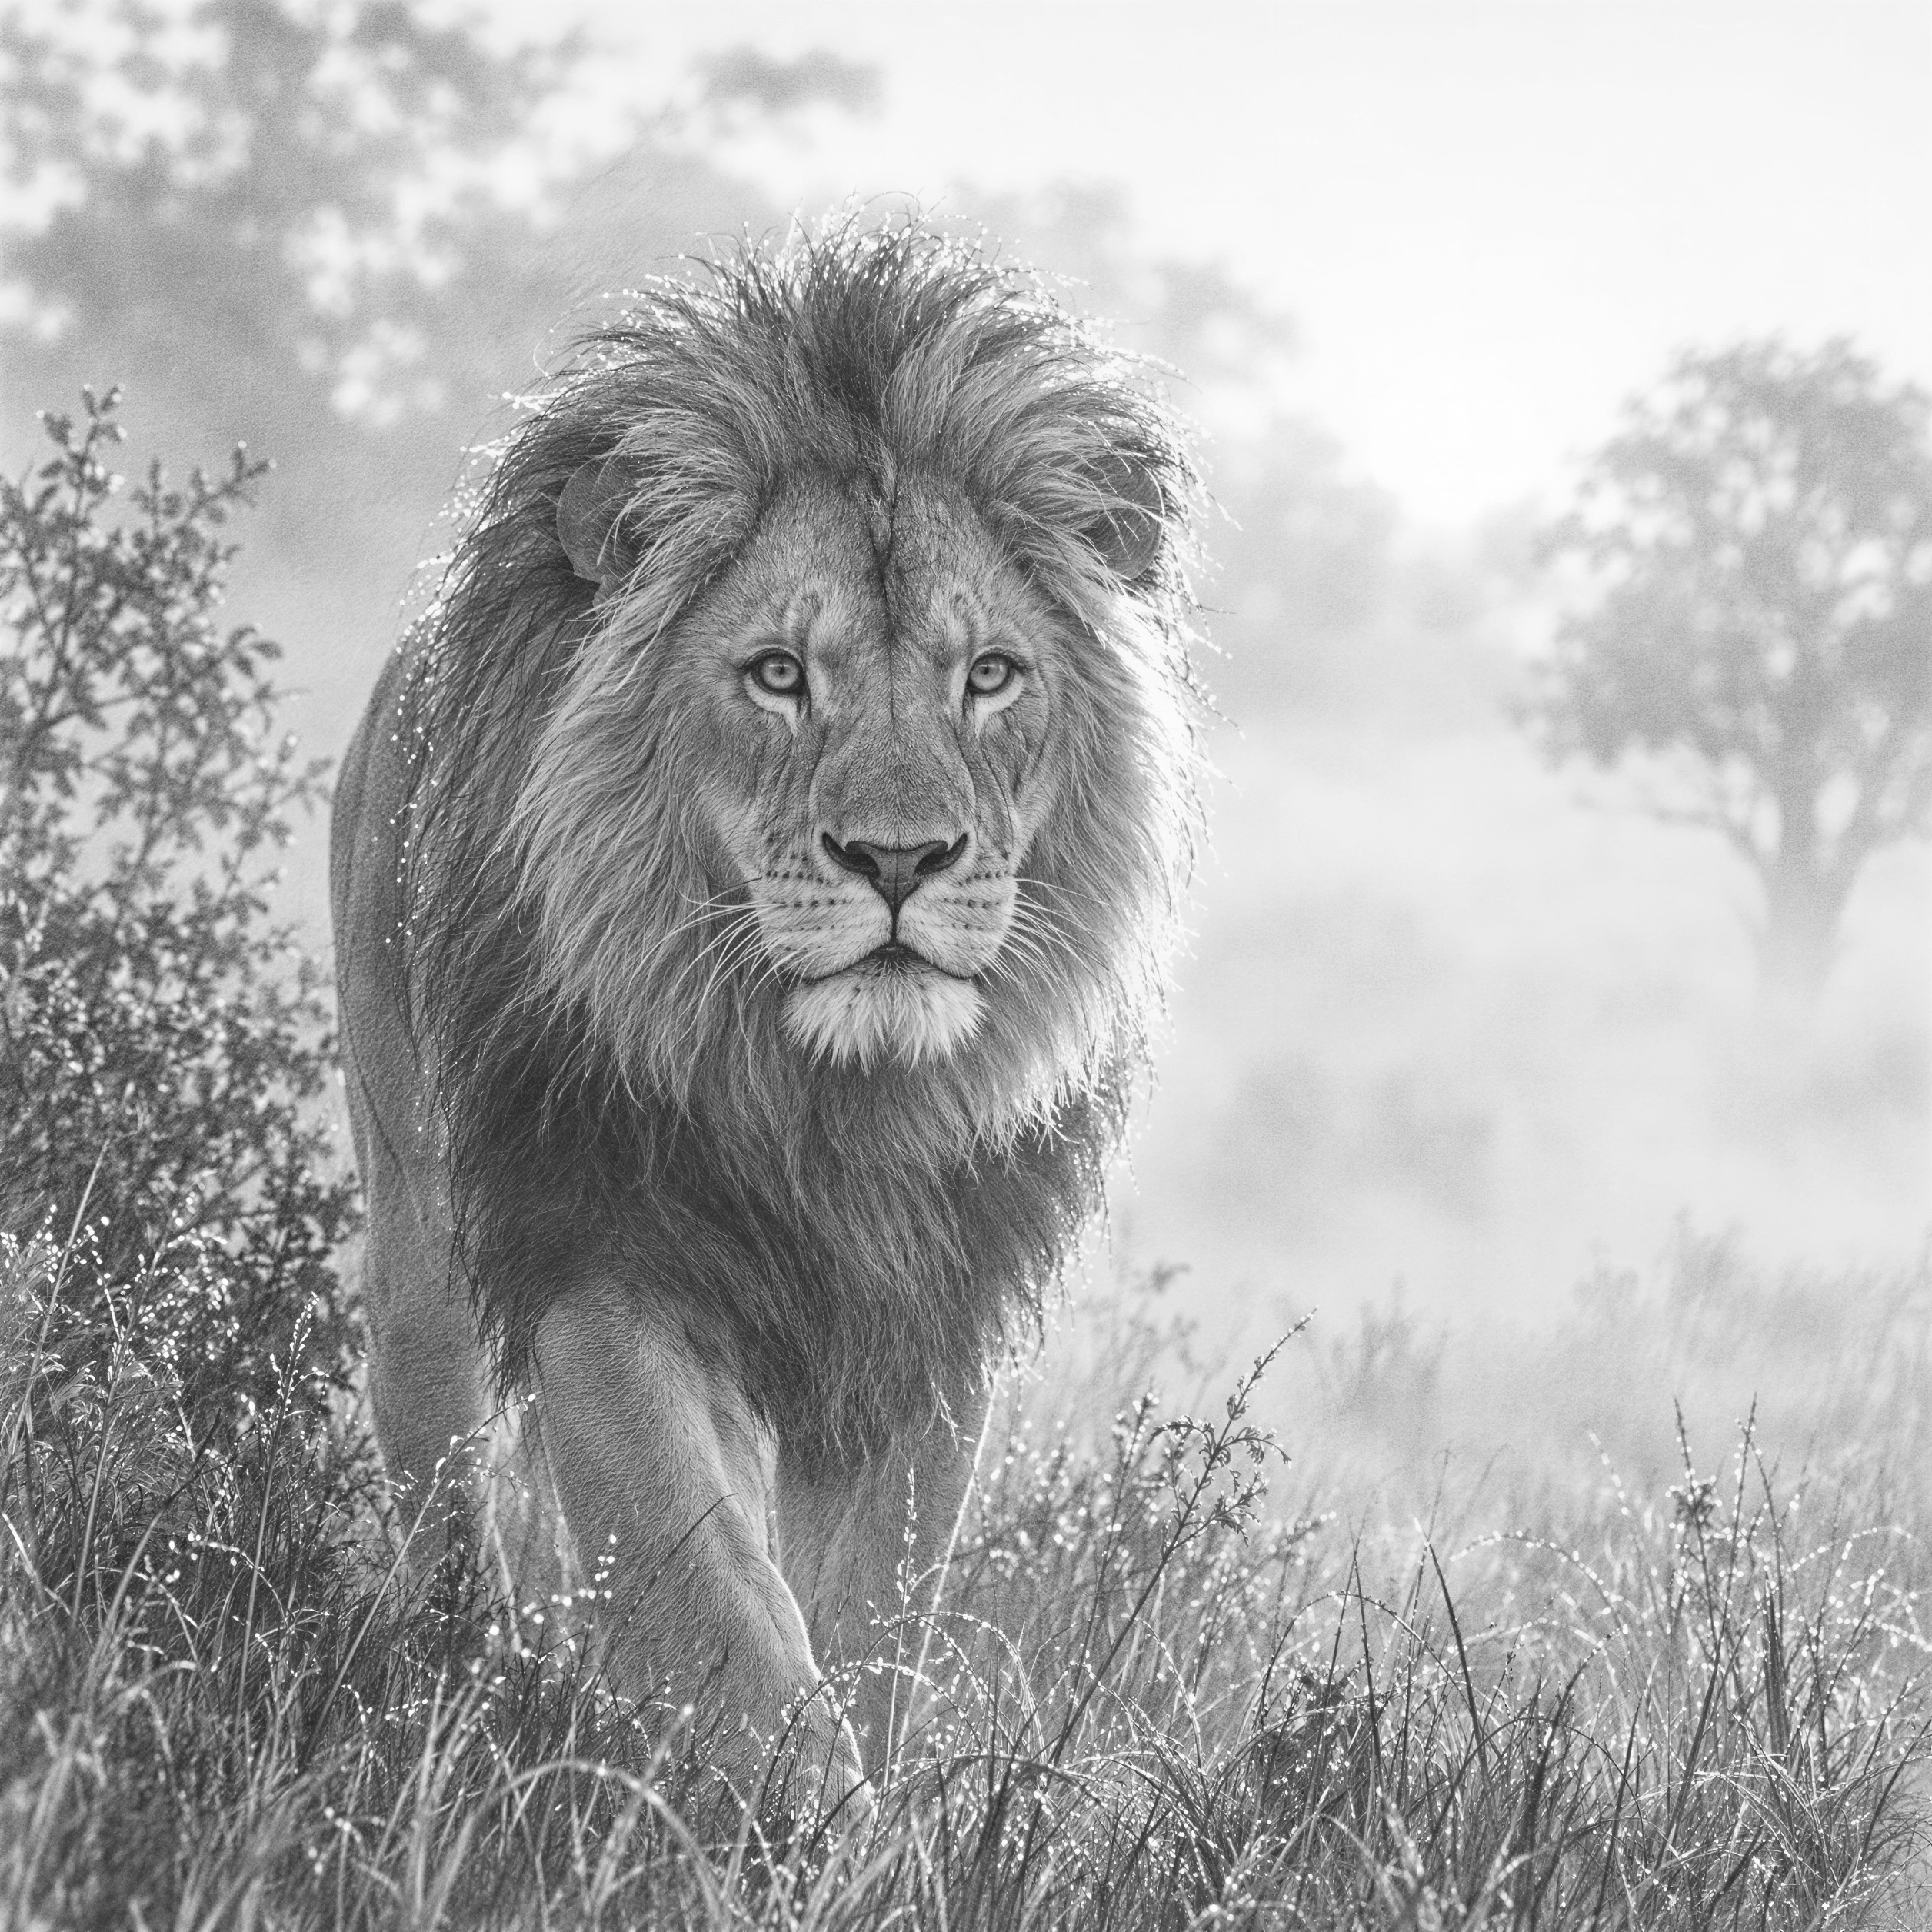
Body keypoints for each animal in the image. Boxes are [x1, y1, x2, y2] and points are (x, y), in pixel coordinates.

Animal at [330, 219, 1201, 1819]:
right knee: (442, 1463)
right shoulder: (602, 1255)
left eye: (990, 675)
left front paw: (878, 1820)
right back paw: (450, 1685)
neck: (822, 1098)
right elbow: (717, 1591)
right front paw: (799, 1811)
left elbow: (872, 1614)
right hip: (417, 1212)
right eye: (779, 676)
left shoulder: (924, 1325)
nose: (900, 860)